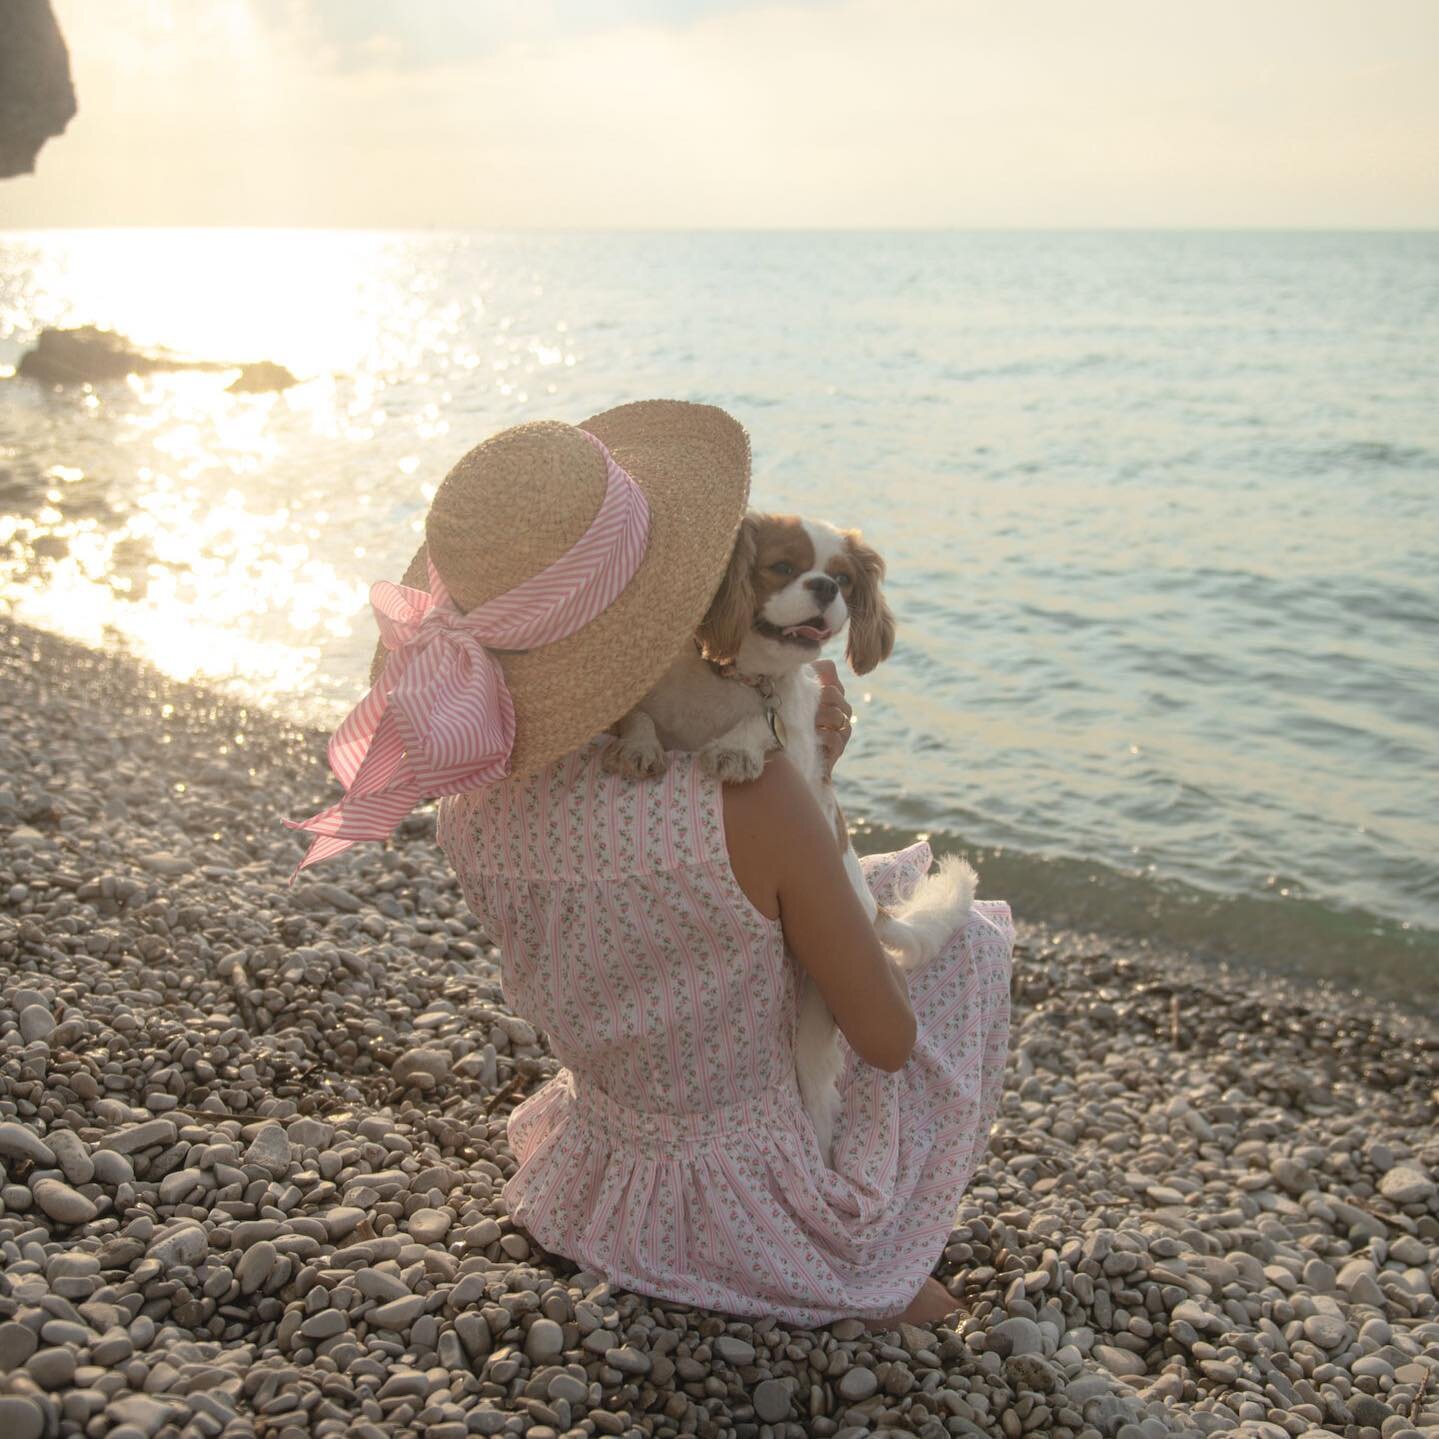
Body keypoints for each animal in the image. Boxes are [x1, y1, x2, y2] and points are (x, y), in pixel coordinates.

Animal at [601, 512, 972, 1162]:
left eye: (844, 580)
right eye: (781, 567)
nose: (824, 587)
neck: (741, 677)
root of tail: (868, 907)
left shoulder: (791, 741)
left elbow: (760, 729)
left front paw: (736, 750)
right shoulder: (656, 697)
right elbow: (641, 717)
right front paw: (640, 746)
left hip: (818, 1015)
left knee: (818, 1099)